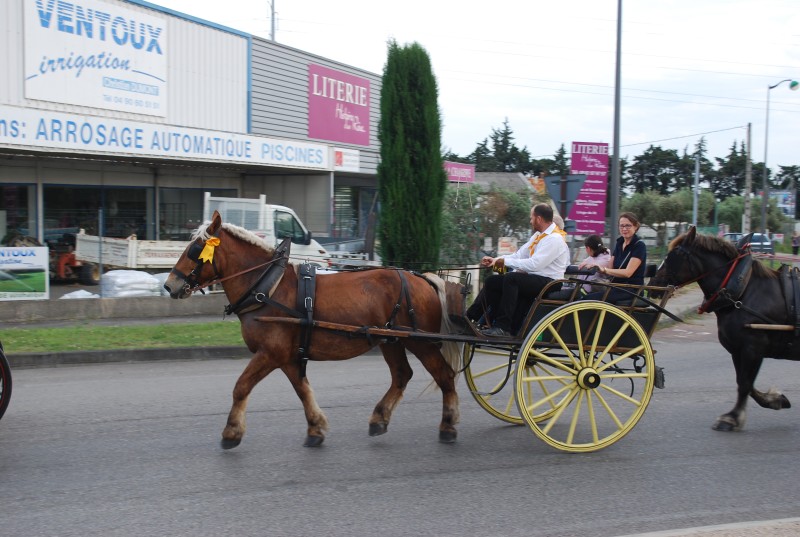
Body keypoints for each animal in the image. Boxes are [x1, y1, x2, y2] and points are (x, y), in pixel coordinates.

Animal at [162, 209, 462, 448]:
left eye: (194, 249)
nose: (169, 285)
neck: (268, 288)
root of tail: (422, 278)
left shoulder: (270, 353)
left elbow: (241, 387)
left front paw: (231, 432)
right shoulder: (287, 357)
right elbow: (303, 390)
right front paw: (316, 428)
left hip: (420, 342)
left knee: (445, 376)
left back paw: (448, 425)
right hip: (391, 340)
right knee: (401, 375)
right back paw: (379, 419)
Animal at [648, 226, 792, 432]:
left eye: (673, 256)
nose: (652, 283)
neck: (743, 291)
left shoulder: (753, 347)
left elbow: (745, 384)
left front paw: (731, 418)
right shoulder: (738, 348)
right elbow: (745, 382)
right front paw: (775, 399)